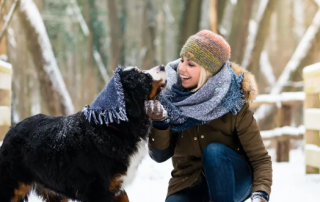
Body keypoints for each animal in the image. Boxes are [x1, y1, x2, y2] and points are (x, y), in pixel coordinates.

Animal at [0, 65, 169, 202]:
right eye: (141, 75)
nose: (162, 66)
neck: (113, 128)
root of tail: (12, 129)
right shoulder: (97, 191)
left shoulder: (116, 188)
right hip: (11, 187)